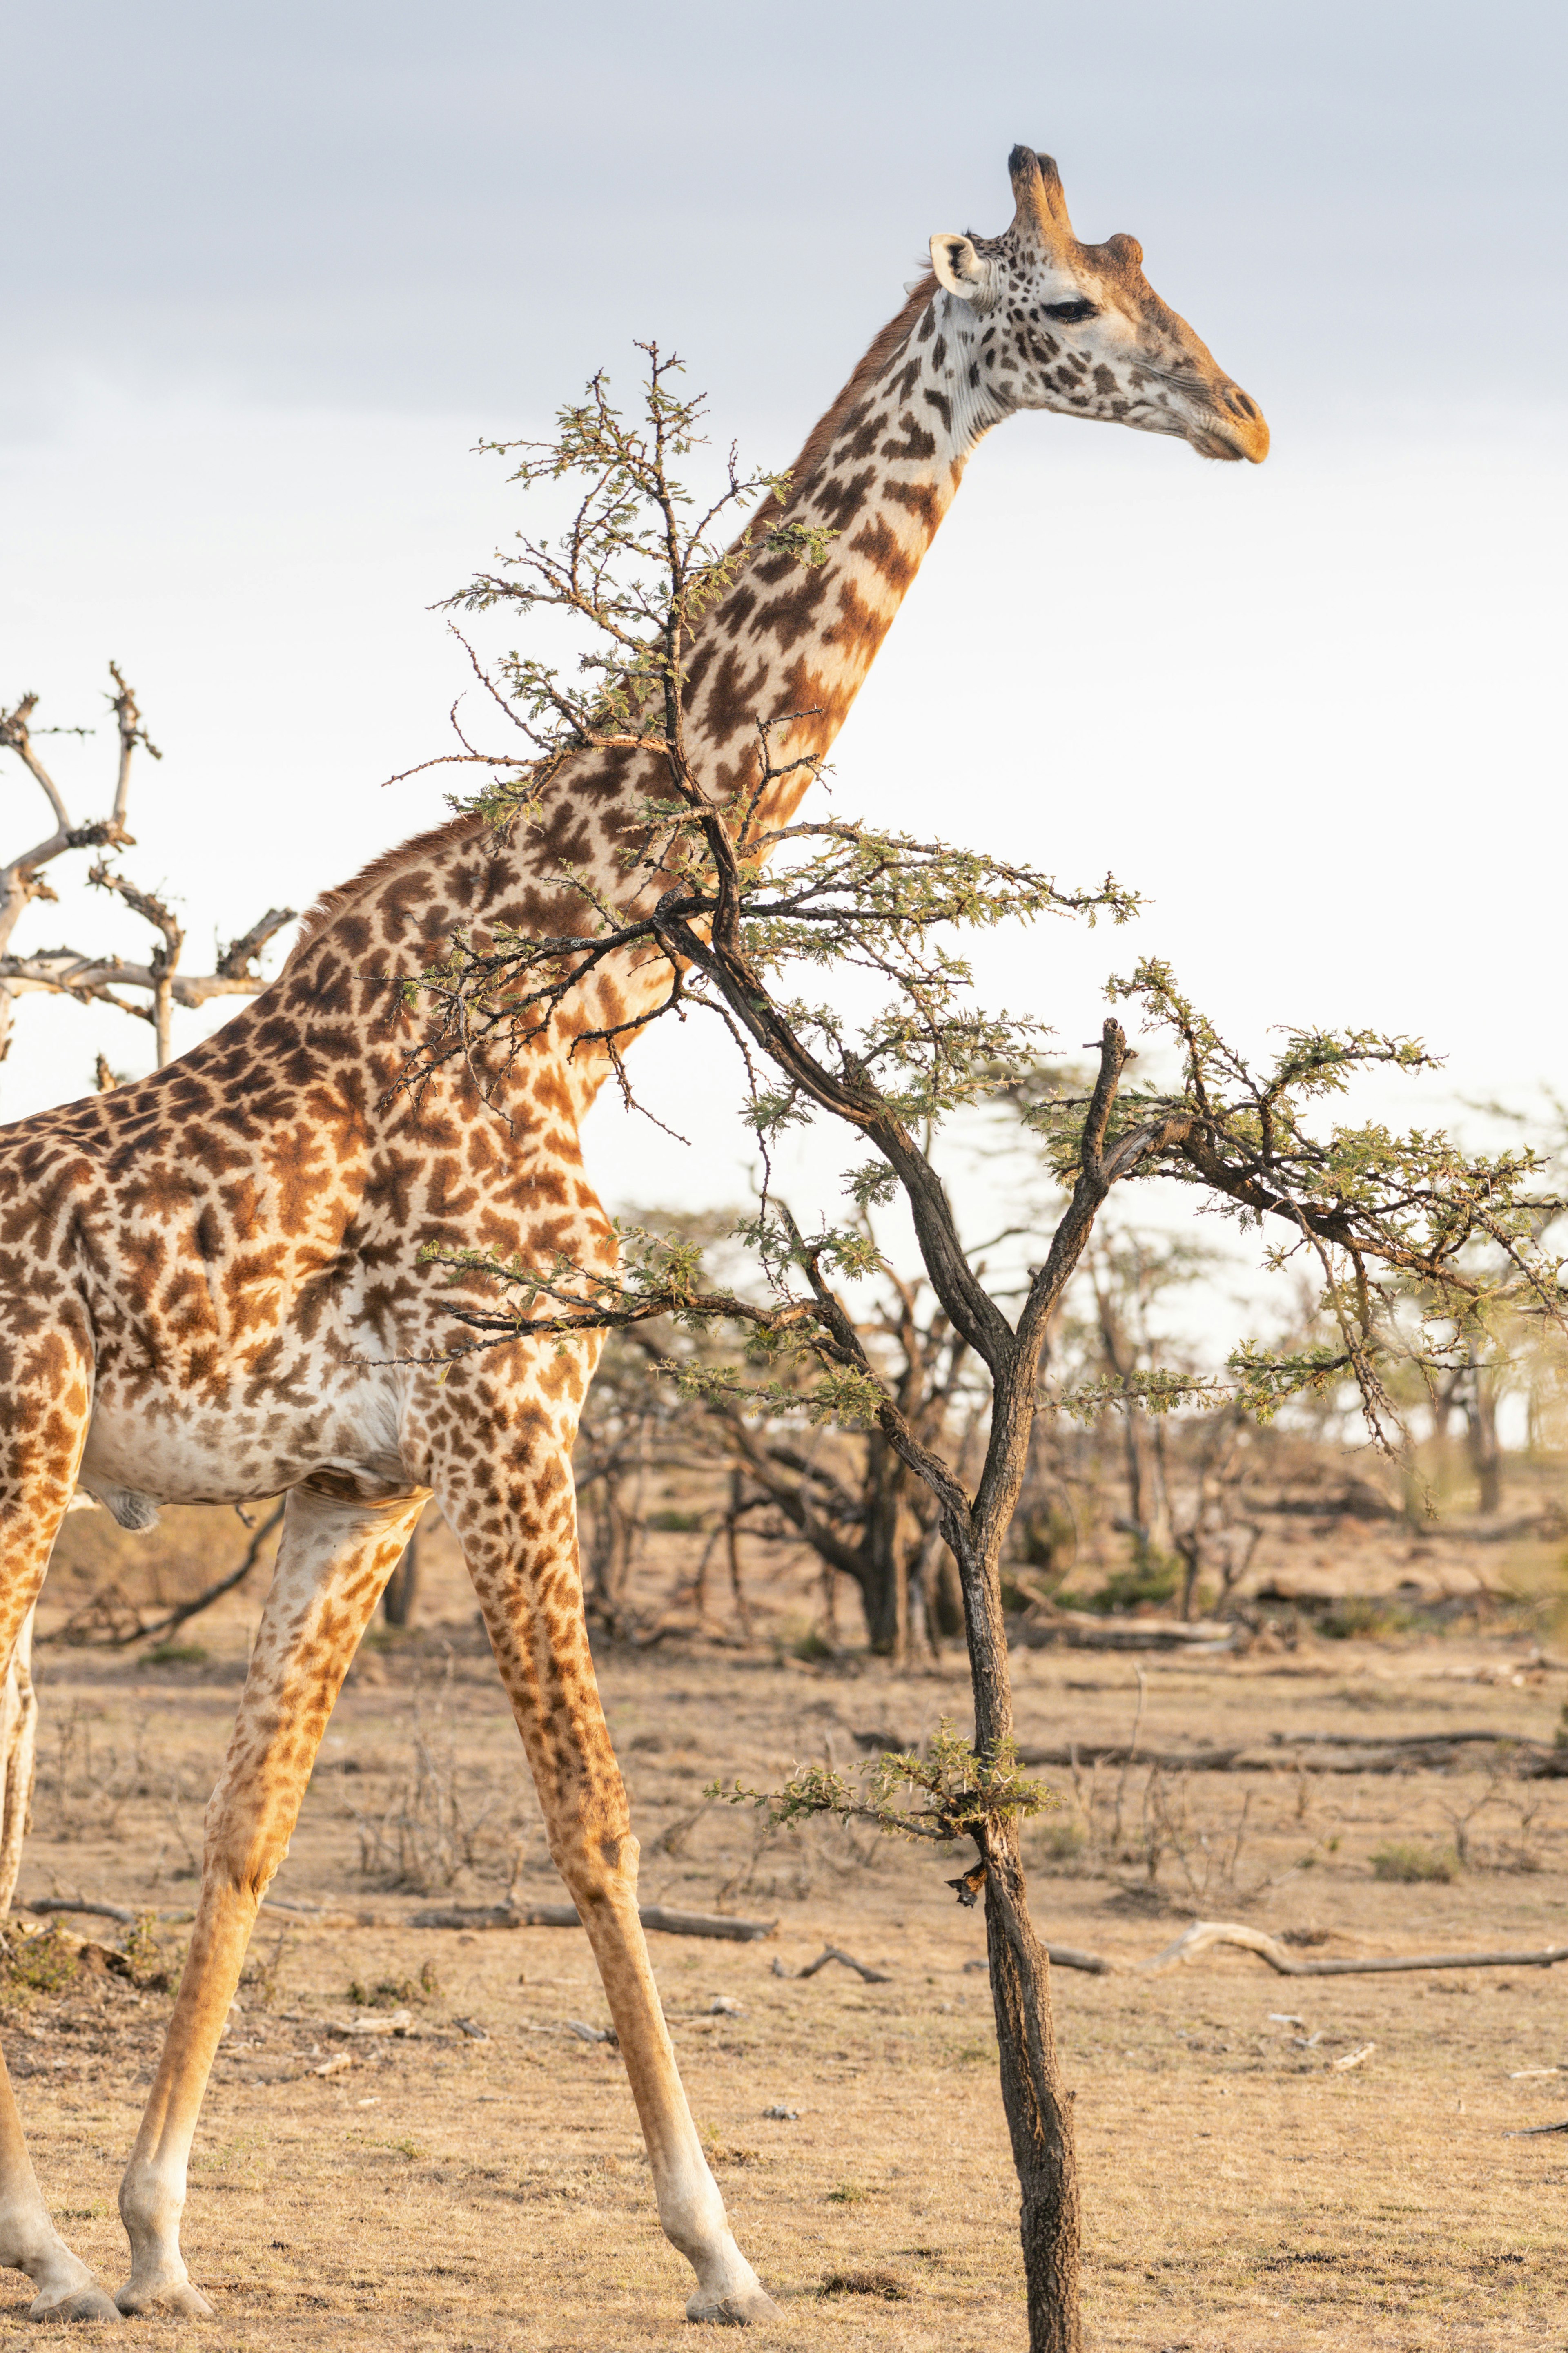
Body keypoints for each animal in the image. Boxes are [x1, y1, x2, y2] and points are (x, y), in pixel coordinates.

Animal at [0, 152, 1260, 2334]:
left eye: (1146, 274)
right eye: (1073, 311)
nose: (1246, 419)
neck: (576, 992)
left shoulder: (365, 1479)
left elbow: (249, 1830)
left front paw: (156, 2226)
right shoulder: (515, 1405)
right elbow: (596, 1821)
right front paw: (720, 2243)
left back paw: (66, 2241)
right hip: (25, 1457)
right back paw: (41, 2242)